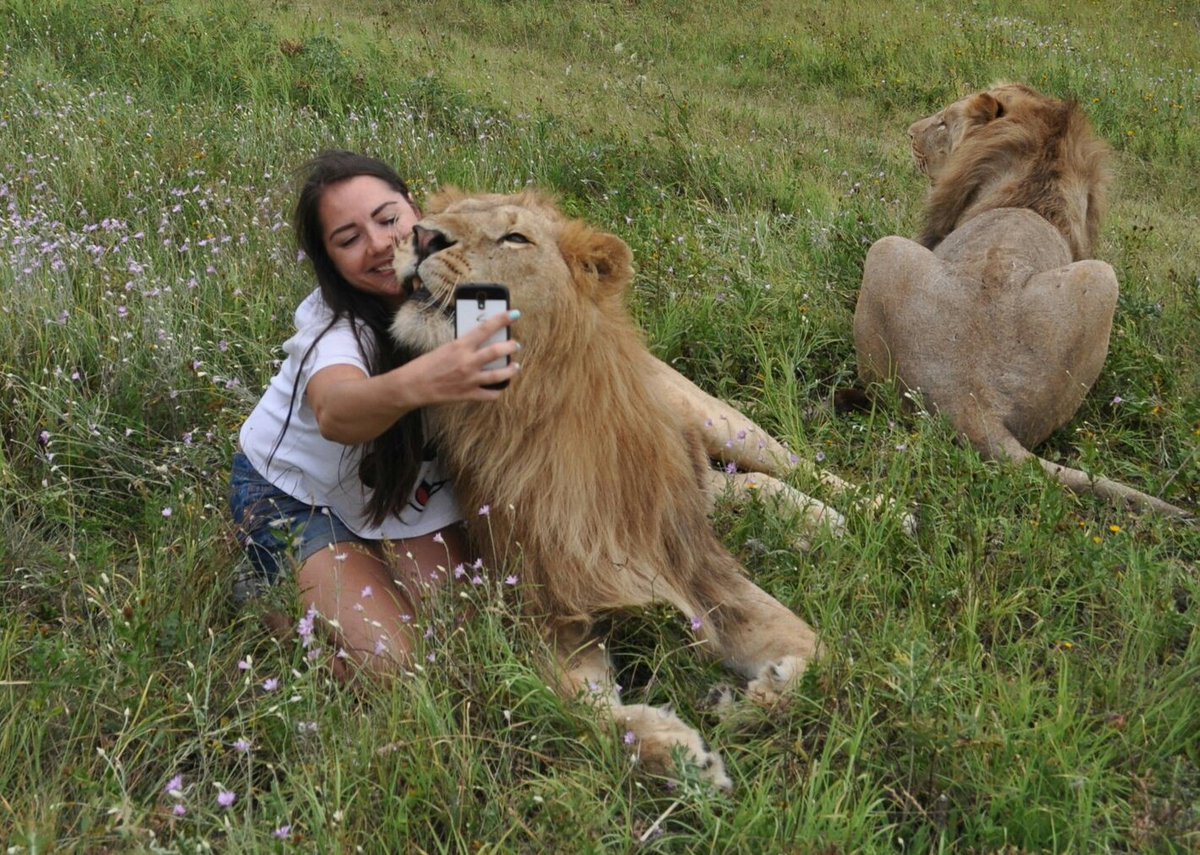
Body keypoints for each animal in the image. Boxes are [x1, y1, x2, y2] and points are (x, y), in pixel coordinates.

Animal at [391, 188, 825, 787]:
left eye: (515, 238)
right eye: (440, 216)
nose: (420, 236)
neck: (530, 407)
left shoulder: (699, 572)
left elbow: (819, 654)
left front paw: (754, 697)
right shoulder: (549, 608)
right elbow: (584, 710)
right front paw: (681, 754)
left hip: (720, 421)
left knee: (789, 465)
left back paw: (867, 515)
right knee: (741, 487)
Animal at [854, 83, 1190, 518]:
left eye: (943, 122)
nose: (909, 133)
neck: (1040, 167)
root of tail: (972, 401)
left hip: (888, 248)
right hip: (1101, 277)